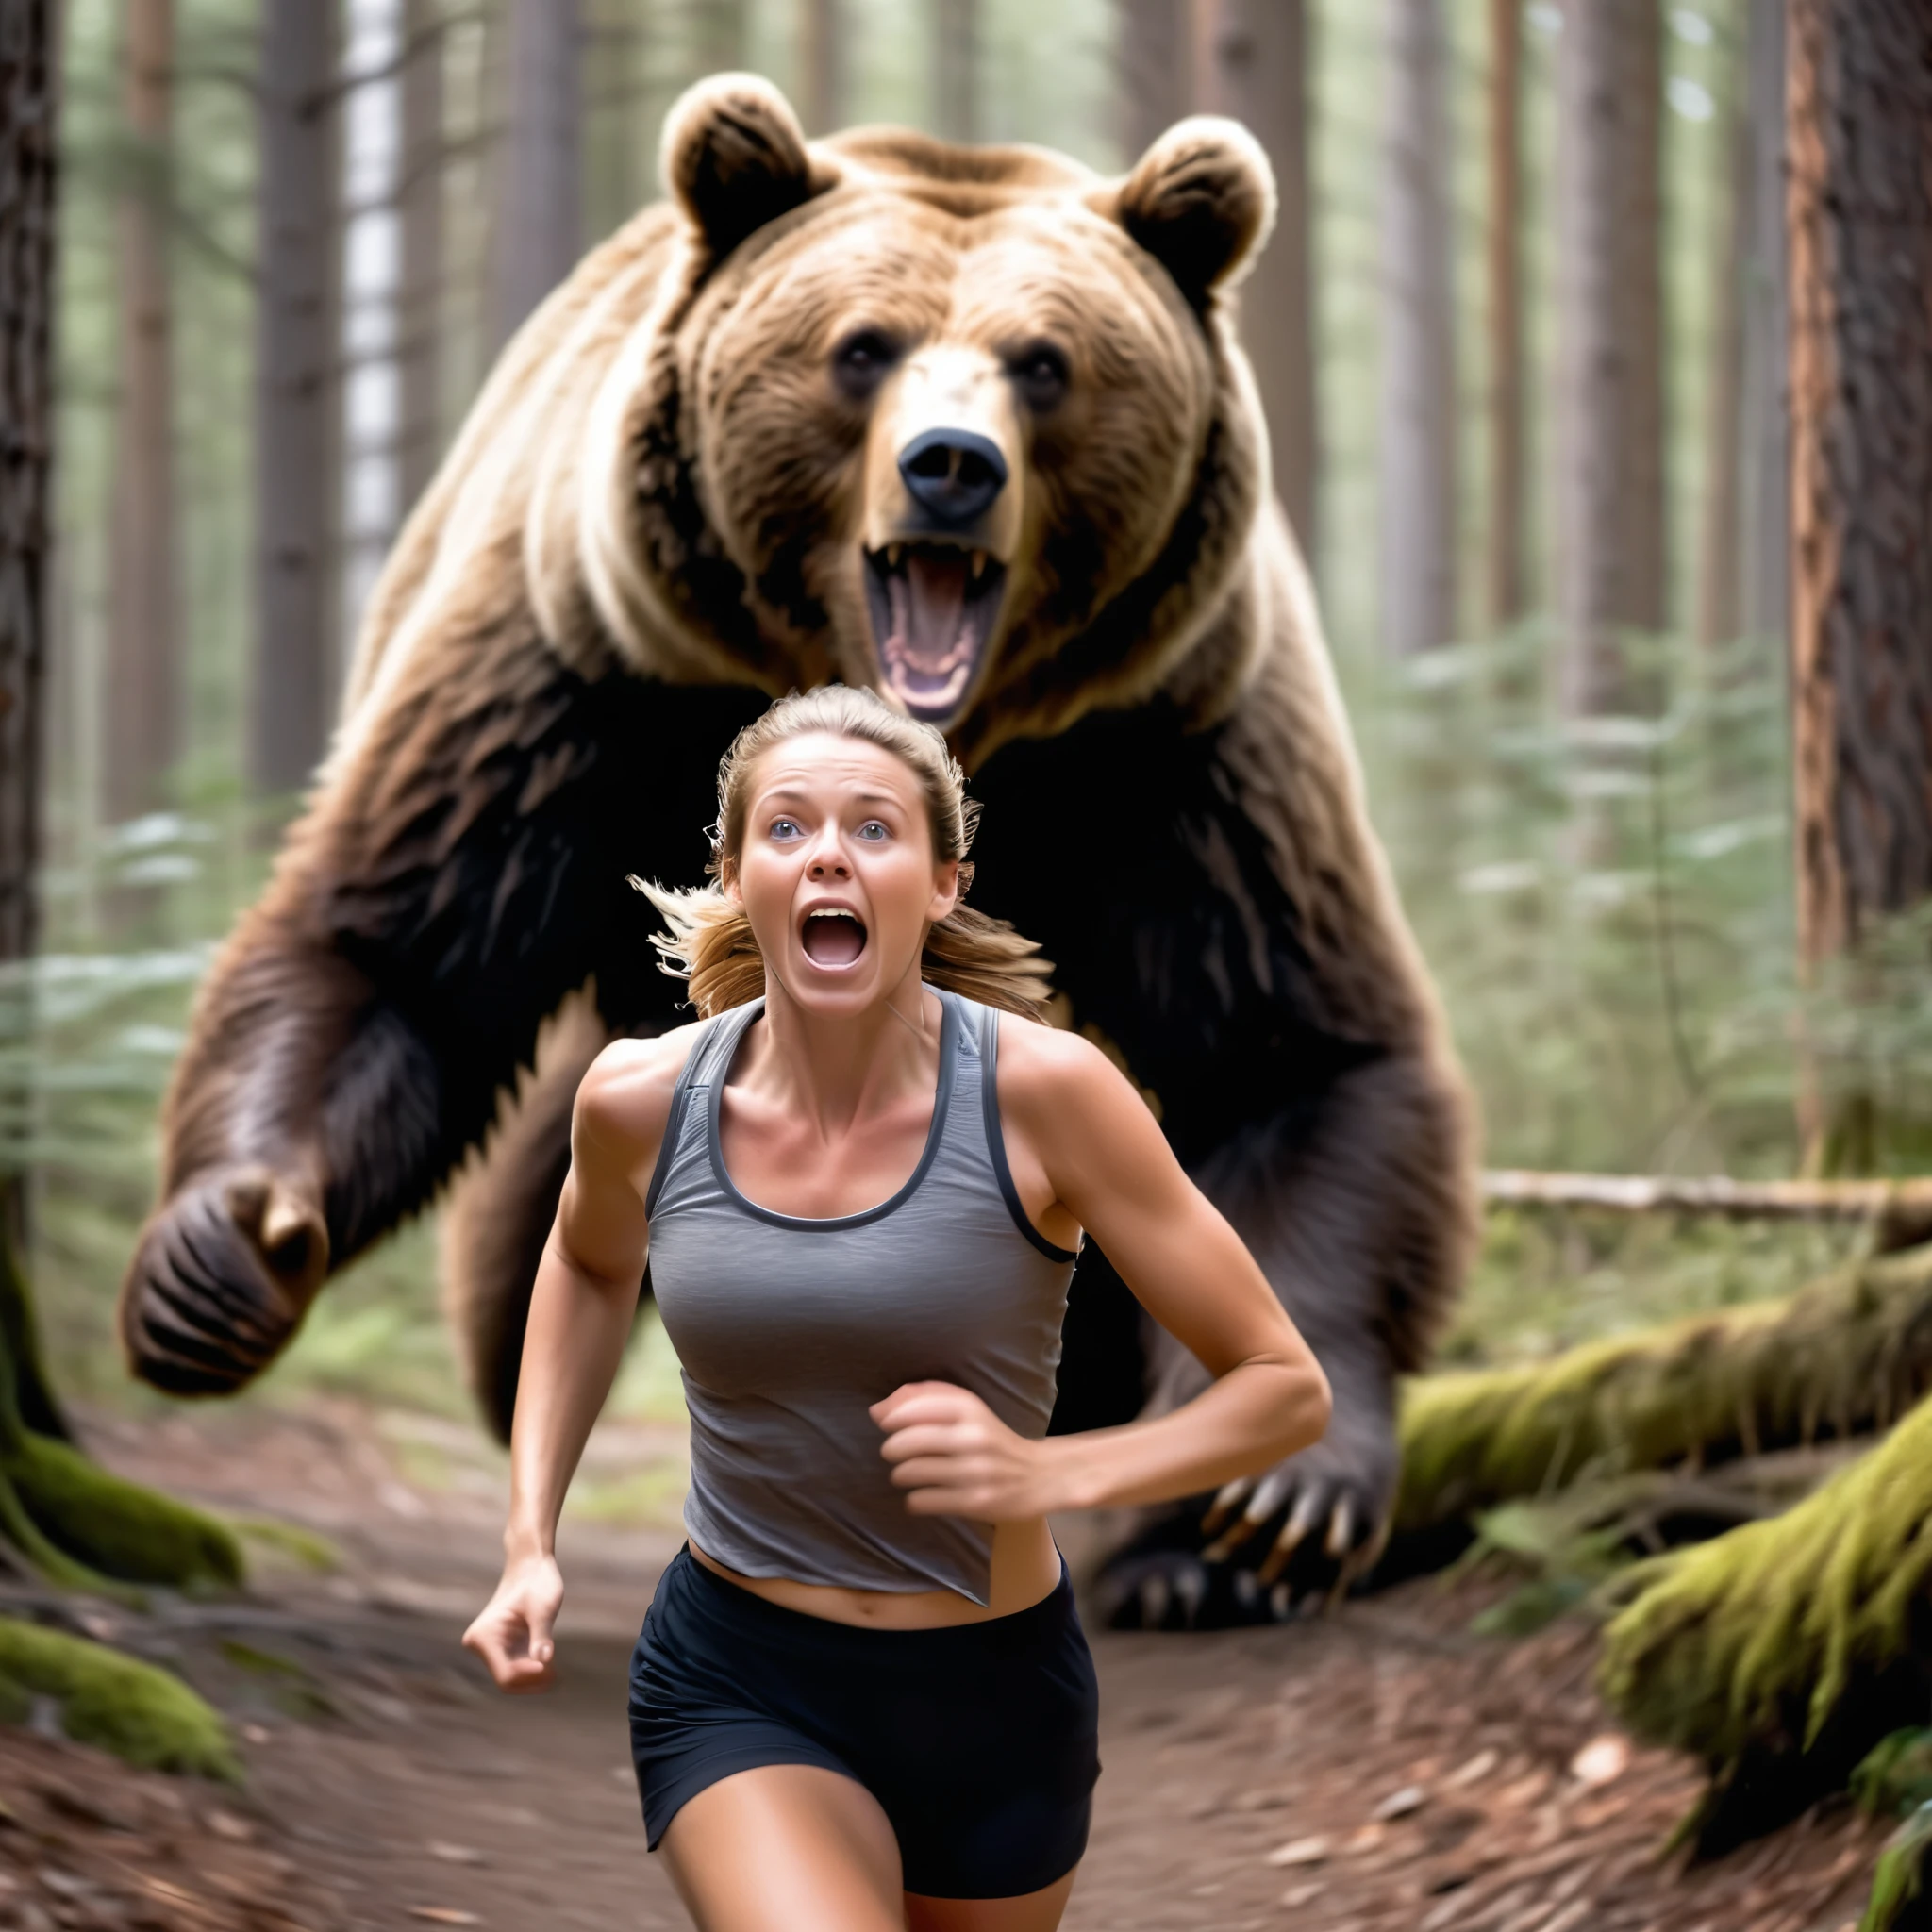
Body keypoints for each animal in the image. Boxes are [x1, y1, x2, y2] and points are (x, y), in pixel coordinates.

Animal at [121, 71, 1475, 1615]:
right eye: (860, 348)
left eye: (1046, 362)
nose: (952, 467)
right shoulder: (579, 678)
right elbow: (393, 951)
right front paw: (221, 1253)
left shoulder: (1175, 740)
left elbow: (1281, 1054)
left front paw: (1262, 1508)